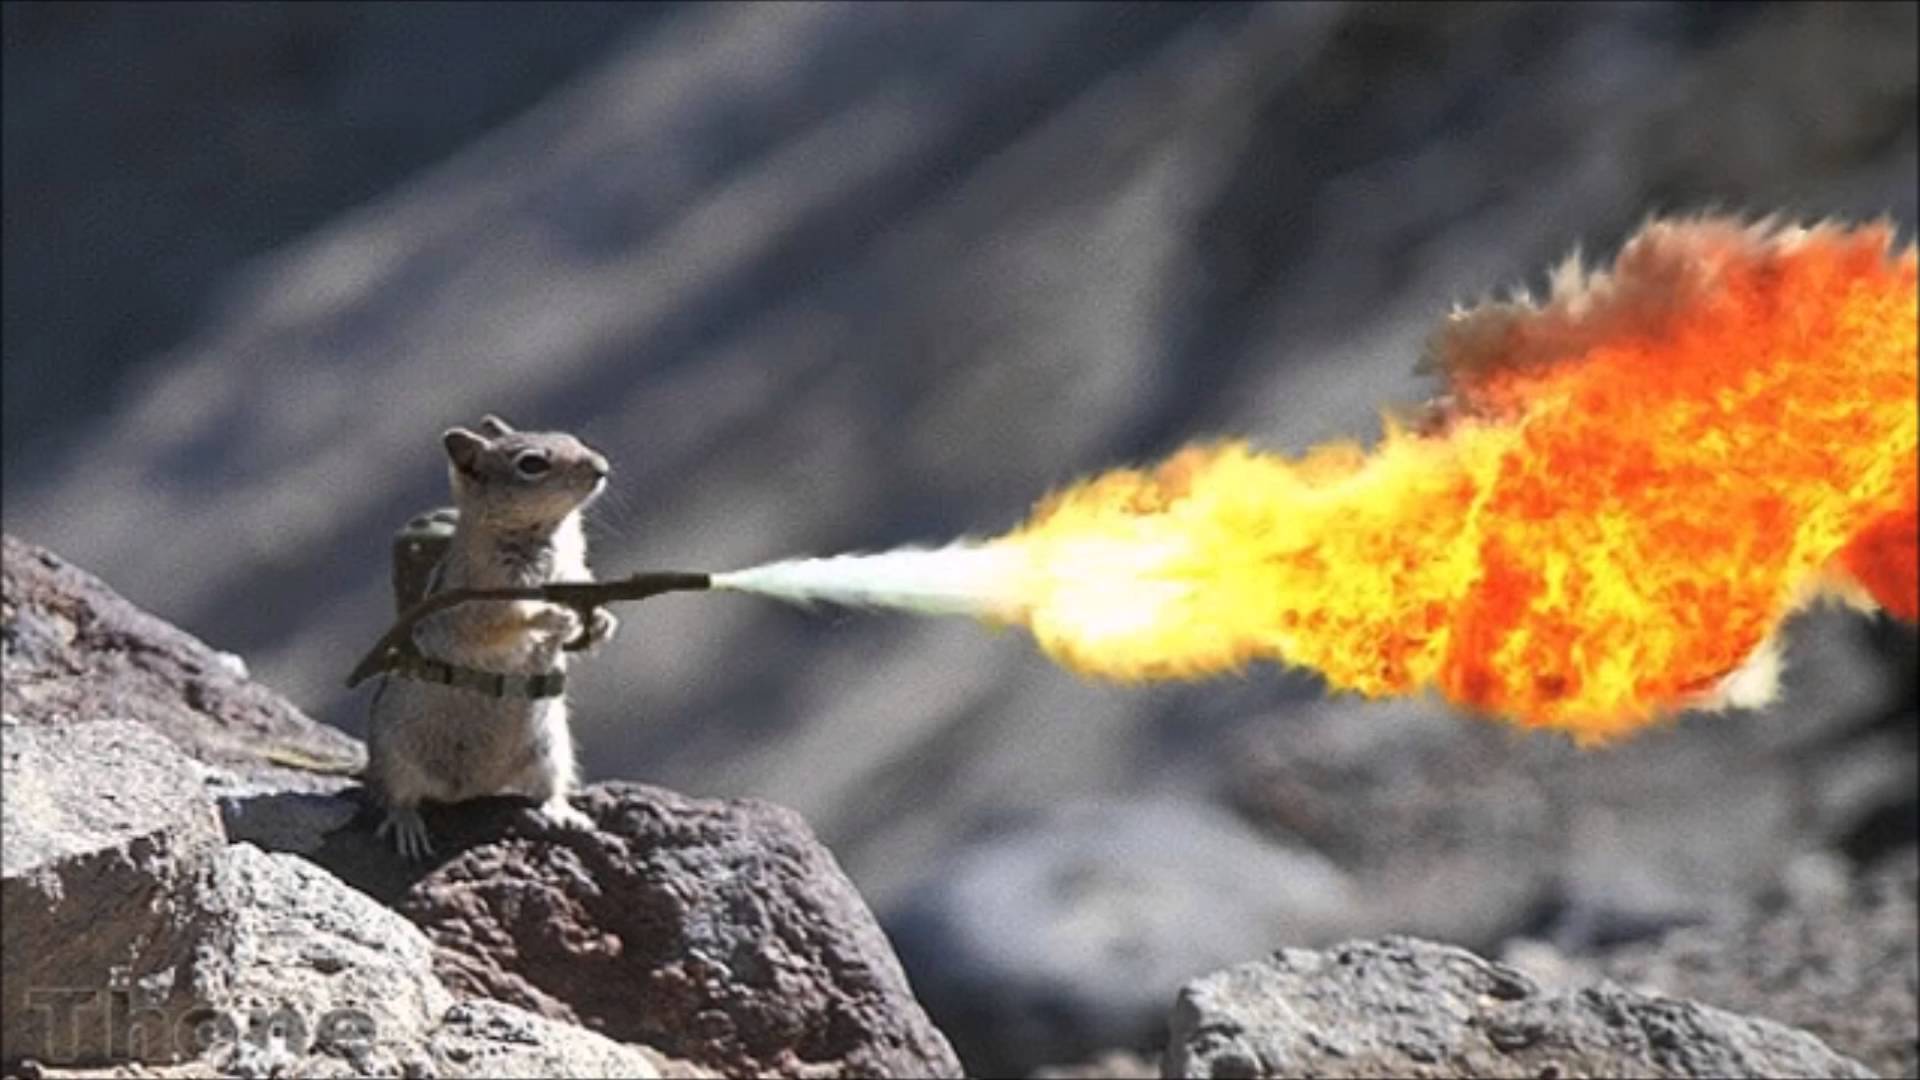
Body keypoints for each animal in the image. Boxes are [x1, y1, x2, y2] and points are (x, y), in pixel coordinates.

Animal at [366, 414, 618, 859]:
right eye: (532, 464)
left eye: (572, 438)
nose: (602, 468)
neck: (546, 536)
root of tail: (468, 790)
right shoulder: (484, 598)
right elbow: (504, 623)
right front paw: (554, 616)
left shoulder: (576, 569)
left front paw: (602, 621)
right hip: (395, 754)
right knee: (398, 795)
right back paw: (406, 825)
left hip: (552, 749)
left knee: (547, 789)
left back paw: (563, 811)